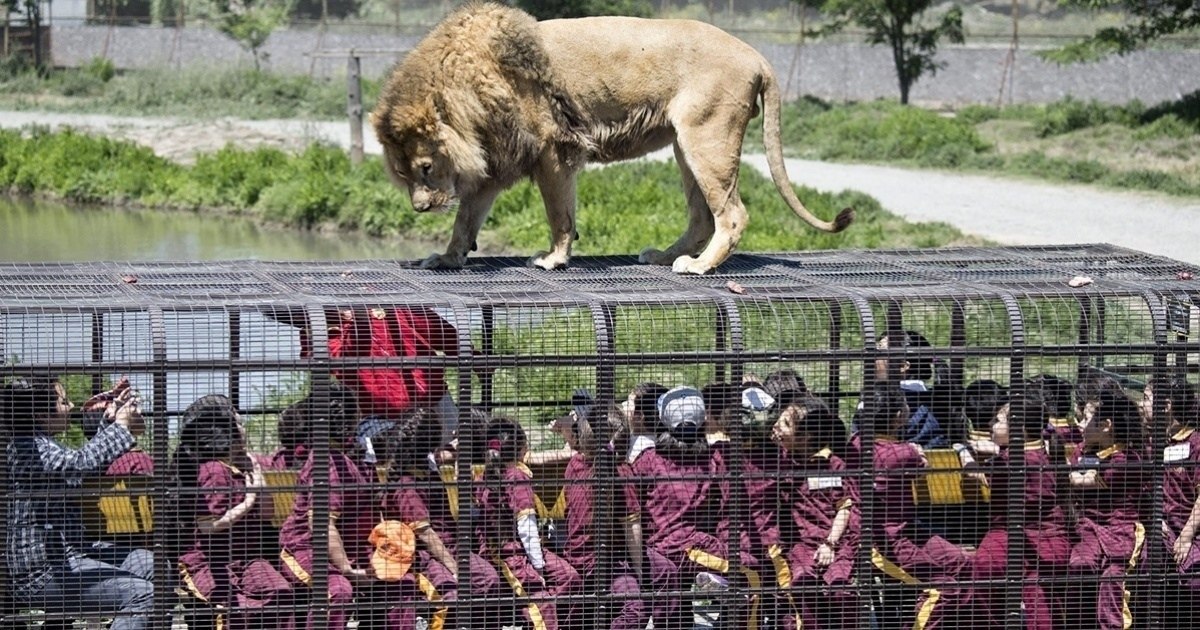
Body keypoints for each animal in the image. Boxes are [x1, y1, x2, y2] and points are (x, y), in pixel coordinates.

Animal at [374, 1, 854, 273]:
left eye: (426, 167)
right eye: (403, 174)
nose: (419, 208)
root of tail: (756, 54)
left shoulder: (554, 152)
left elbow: (559, 214)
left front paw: (553, 258)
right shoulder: (497, 163)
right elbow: (465, 220)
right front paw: (446, 258)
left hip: (707, 138)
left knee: (732, 214)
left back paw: (698, 267)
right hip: (685, 146)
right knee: (702, 216)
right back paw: (665, 256)